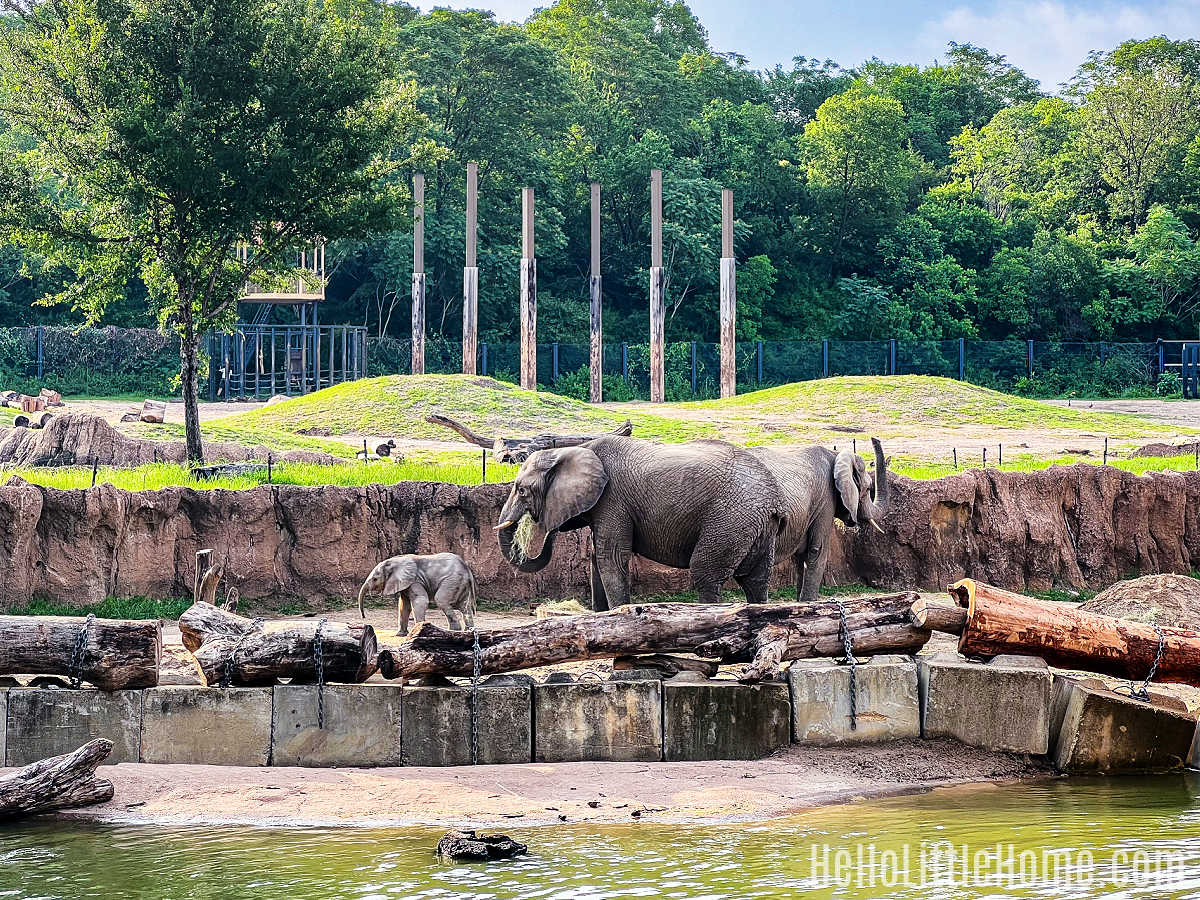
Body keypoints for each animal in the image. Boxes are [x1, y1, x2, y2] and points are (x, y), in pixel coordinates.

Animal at [494, 436, 784, 610]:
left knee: (706, 574)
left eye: (521, 490)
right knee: (756, 579)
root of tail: (775, 500)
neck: (574, 450)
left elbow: (611, 558)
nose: (548, 529)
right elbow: (597, 558)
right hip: (756, 527)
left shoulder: (613, 500)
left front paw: (620, 615)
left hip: (729, 519)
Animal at [748, 437, 890, 603]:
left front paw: (801, 603)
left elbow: (801, 557)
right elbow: (817, 551)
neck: (836, 454)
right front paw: (808, 602)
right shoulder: (825, 501)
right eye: (868, 489)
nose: (875, 439)